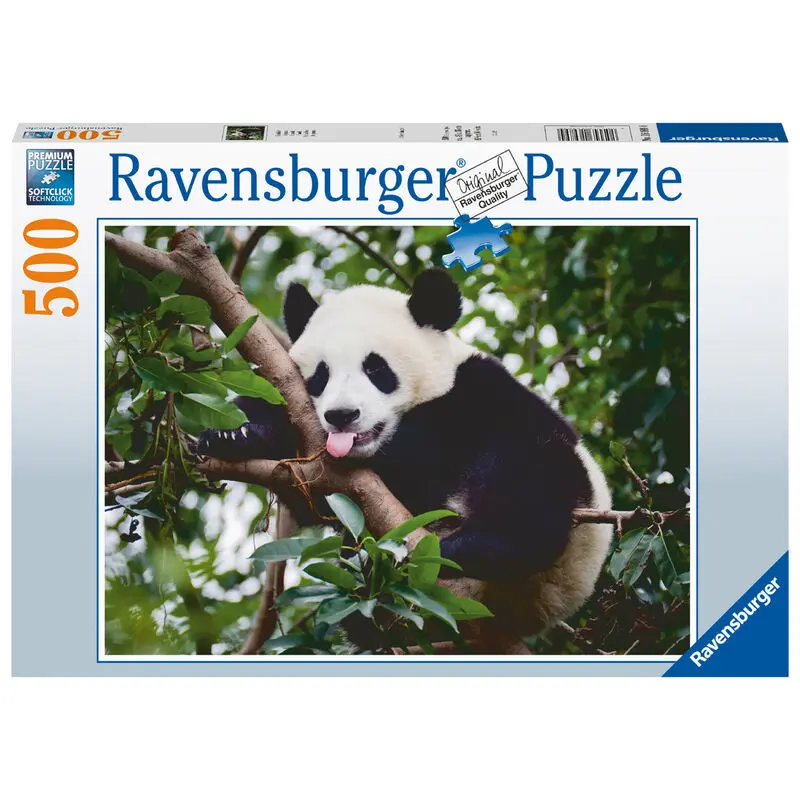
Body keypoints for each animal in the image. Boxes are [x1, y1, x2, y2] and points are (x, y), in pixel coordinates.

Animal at [198, 269, 613, 644]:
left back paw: (459, 549)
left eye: (376, 368)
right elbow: (309, 496)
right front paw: (234, 434)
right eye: (321, 375)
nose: (342, 415)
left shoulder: (473, 397)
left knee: (528, 490)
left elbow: (419, 459)